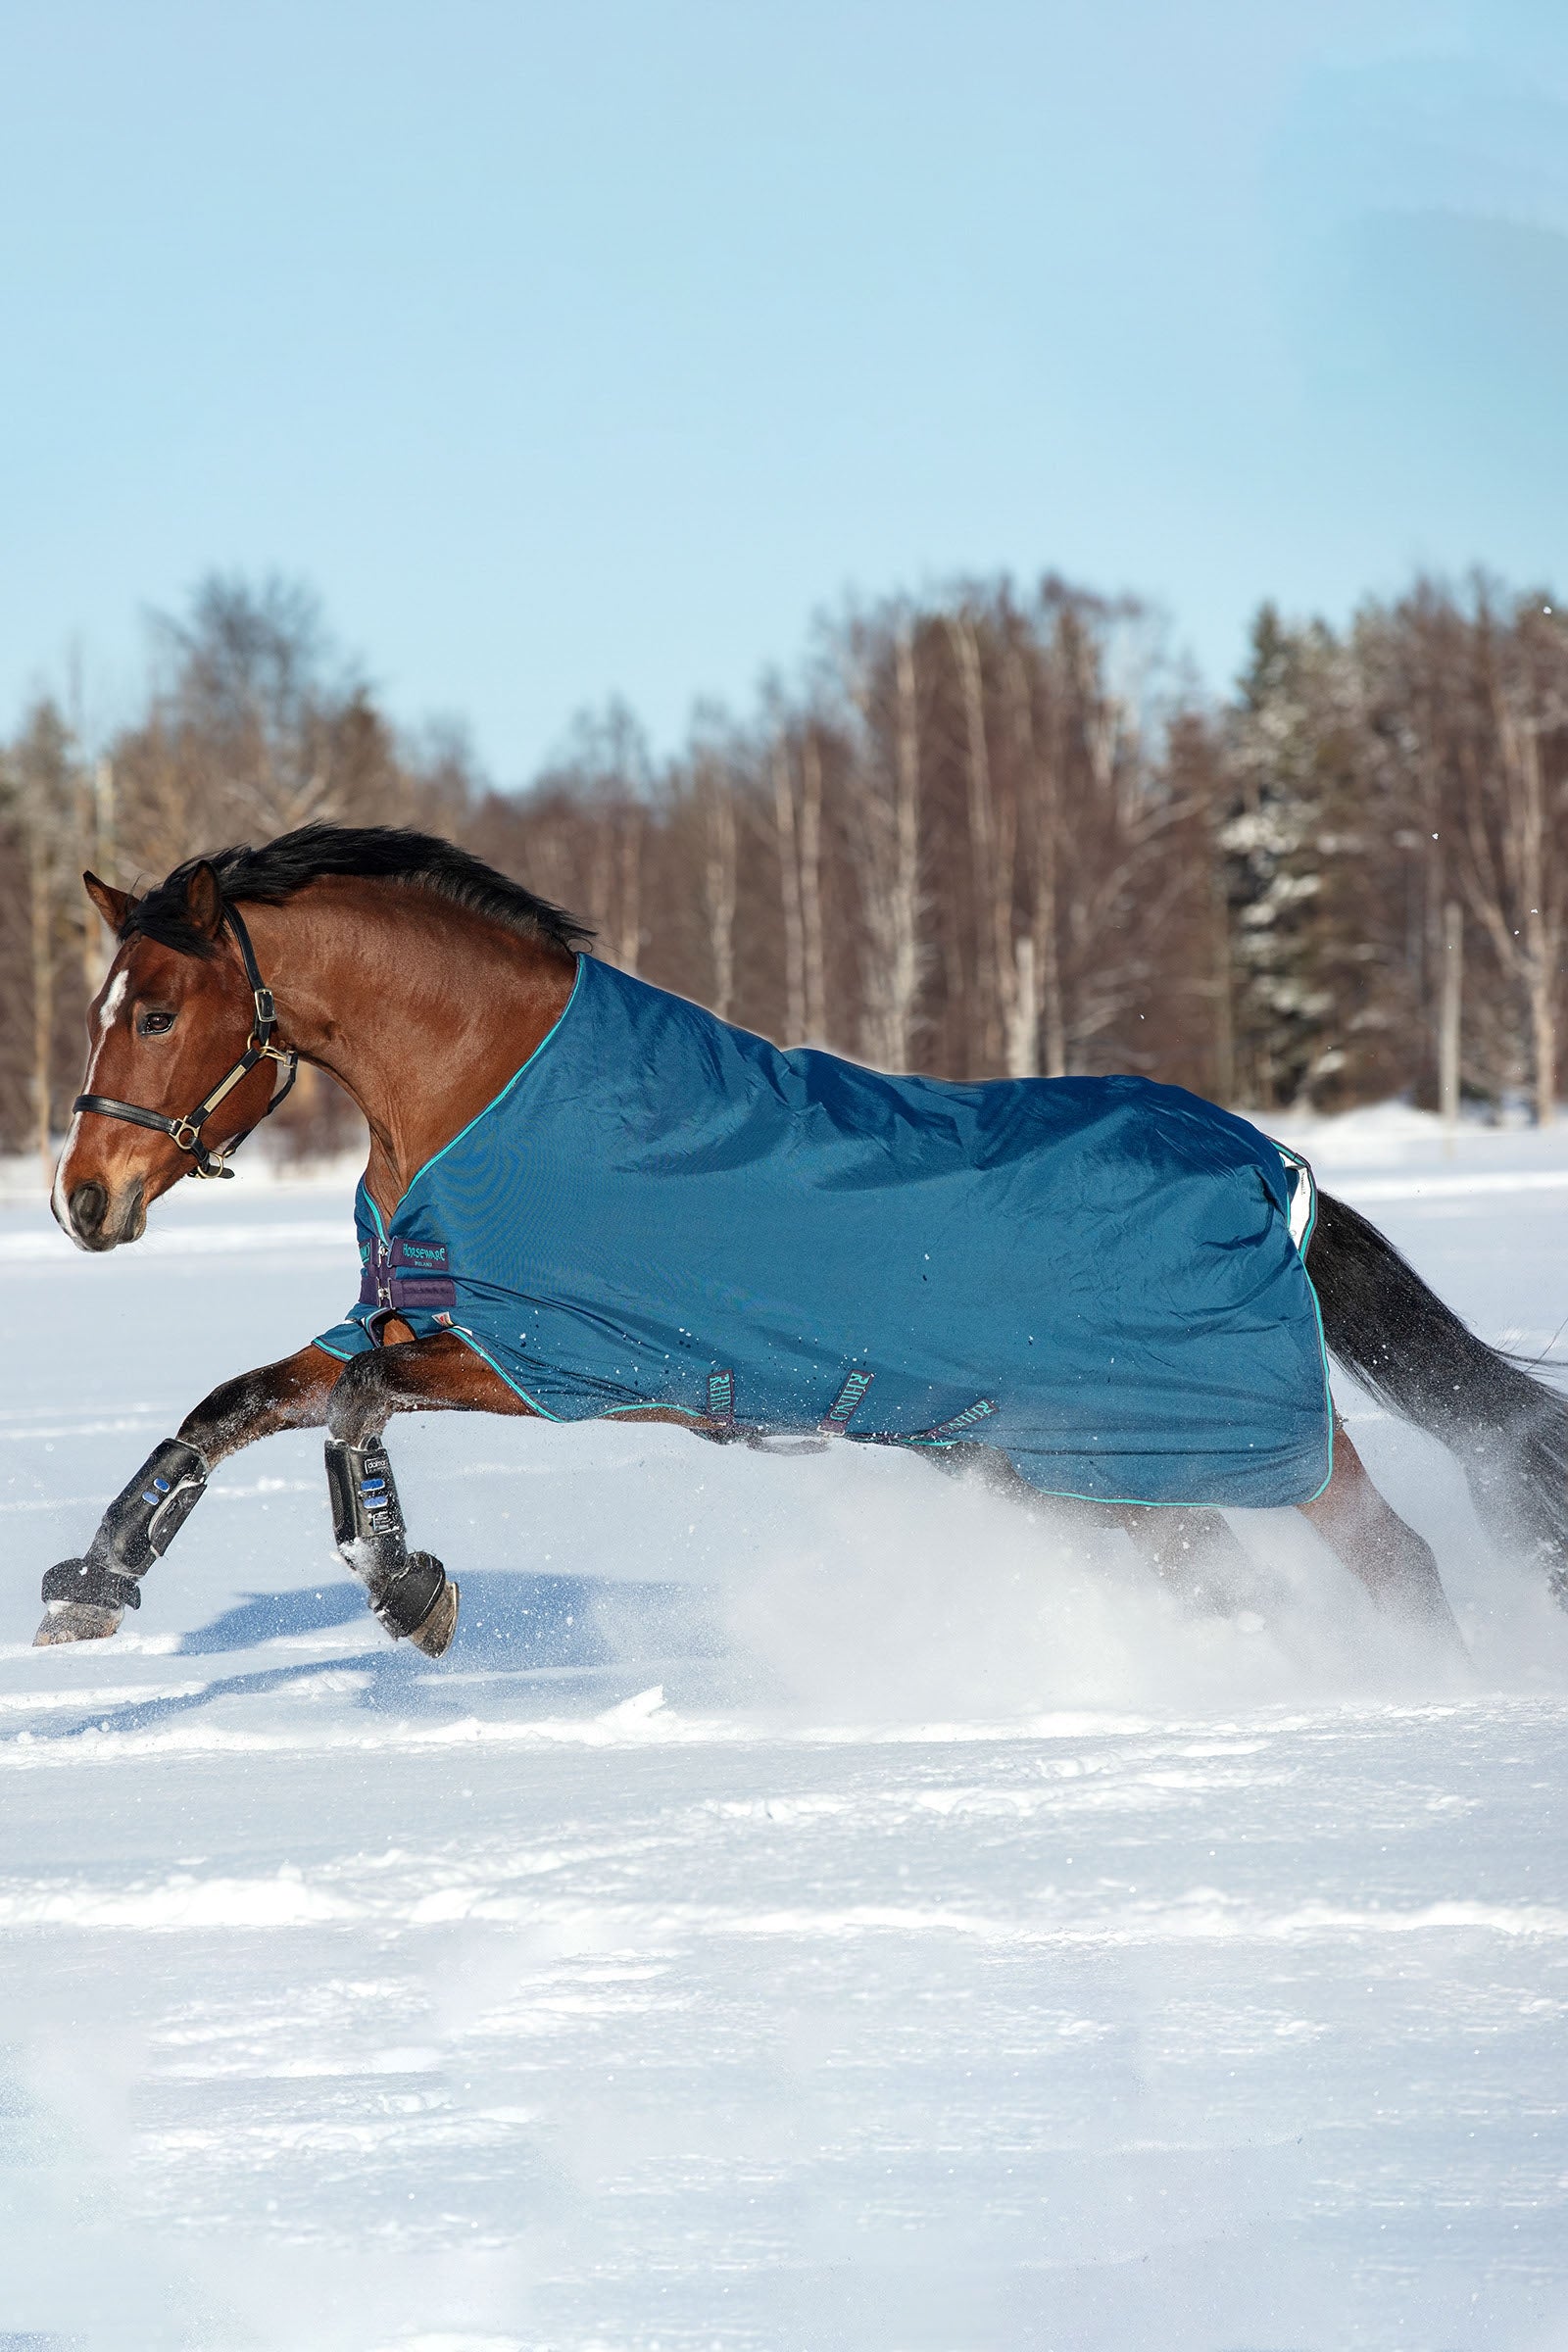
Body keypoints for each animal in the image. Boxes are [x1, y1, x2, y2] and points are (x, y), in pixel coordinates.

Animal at [37, 823, 1568, 1657]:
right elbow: (230, 1407)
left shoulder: (542, 1361)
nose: (82, 1201)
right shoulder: (416, 1321)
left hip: (1249, 1447)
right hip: (1098, 1479)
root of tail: (1274, 1172)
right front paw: (92, 1587)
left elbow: (353, 1408)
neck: (483, 1086)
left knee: (1396, 1561)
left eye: (156, 1012)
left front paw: (409, 1588)